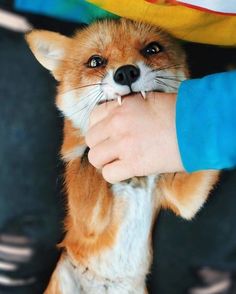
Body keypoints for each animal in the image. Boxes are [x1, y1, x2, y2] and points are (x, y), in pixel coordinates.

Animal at [26, 19, 219, 294]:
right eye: (95, 61)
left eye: (152, 49)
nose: (126, 73)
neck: (133, 178)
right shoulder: (87, 224)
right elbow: (85, 159)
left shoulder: (182, 199)